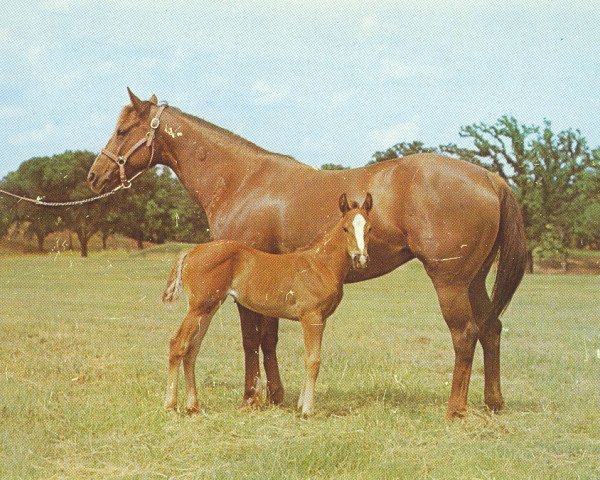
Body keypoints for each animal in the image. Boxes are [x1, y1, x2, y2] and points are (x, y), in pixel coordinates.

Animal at [162, 194, 372, 416]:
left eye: (369, 228)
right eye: (345, 228)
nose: (361, 259)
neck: (320, 264)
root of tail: (192, 251)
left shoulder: (320, 319)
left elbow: (308, 357)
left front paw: (300, 404)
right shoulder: (311, 317)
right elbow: (313, 360)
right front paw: (307, 410)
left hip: (209, 309)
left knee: (192, 349)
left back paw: (193, 406)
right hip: (199, 308)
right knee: (178, 343)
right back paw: (170, 405)